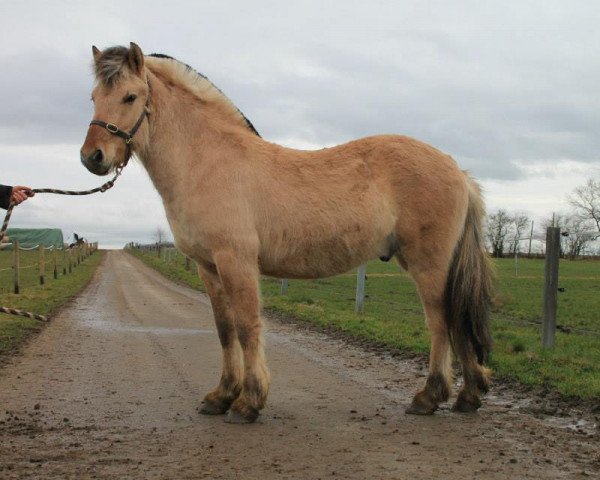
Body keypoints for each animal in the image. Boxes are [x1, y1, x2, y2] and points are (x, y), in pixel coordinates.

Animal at [79, 42, 492, 424]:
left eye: (130, 96)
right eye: (94, 98)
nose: (92, 157)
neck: (207, 161)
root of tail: (457, 171)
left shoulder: (237, 262)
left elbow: (247, 327)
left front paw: (248, 402)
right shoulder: (208, 267)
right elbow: (224, 329)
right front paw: (220, 396)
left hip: (428, 264)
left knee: (441, 323)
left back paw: (429, 397)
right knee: (456, 322)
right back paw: (468, 396)